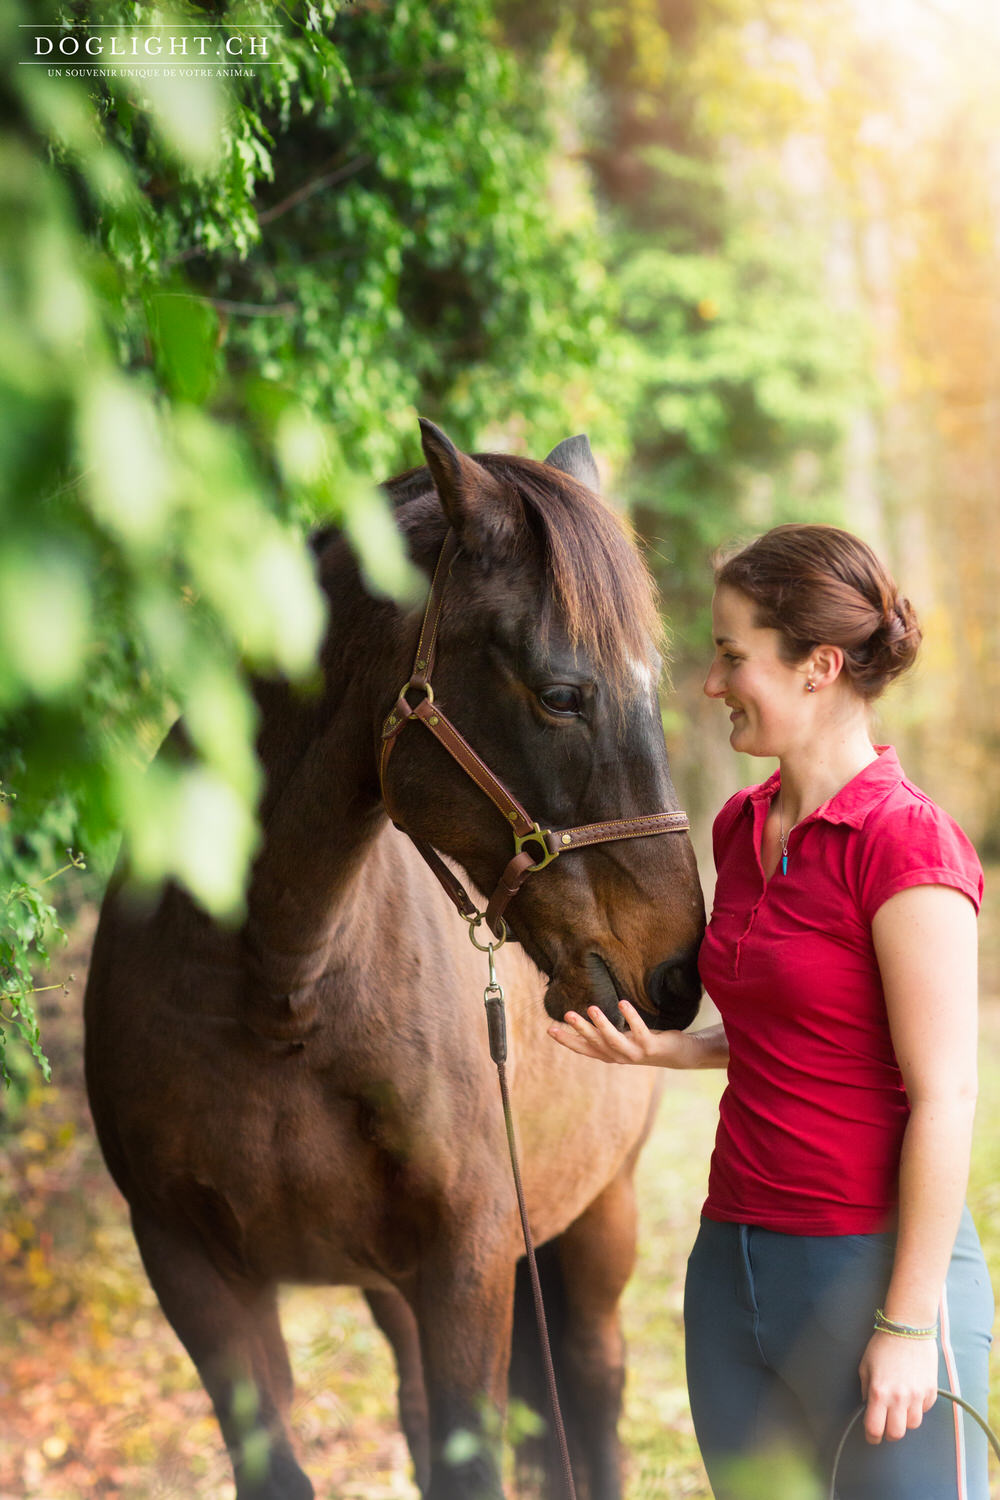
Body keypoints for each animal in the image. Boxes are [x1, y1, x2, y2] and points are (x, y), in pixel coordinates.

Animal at [83, 423, 704, 1500]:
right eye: (561, 695)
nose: (676, 965)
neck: (280, 993)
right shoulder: (192, 1269)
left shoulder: (469, 1262)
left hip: (598, 1219)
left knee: (594, 1391)